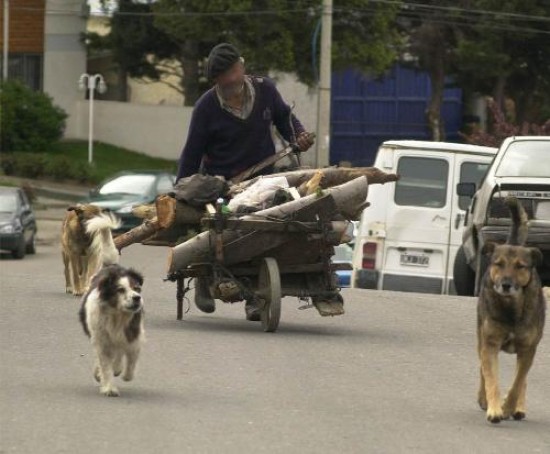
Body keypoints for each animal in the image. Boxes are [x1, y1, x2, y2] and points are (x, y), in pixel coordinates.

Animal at [80, 264, 146, 396]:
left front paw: (126, 374)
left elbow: (131, 359)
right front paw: (109, 388)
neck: (117, 314)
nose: (137, 298)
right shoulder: (101, 339)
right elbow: (105, 365)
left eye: (136, 288)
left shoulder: (133, 334)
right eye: (120, 289)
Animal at [478, 197, 548, 424]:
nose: (506, 285)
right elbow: (491, 378)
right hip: (481, 338)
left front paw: (508, 406)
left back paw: (518, 408)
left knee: (522, 379)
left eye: (520, 266)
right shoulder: (490, 344)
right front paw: (494, 408)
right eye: (498, 264)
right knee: (482, 371)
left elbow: (518, 382)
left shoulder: (528, 349)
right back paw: (484, 399)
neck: (511, 308)